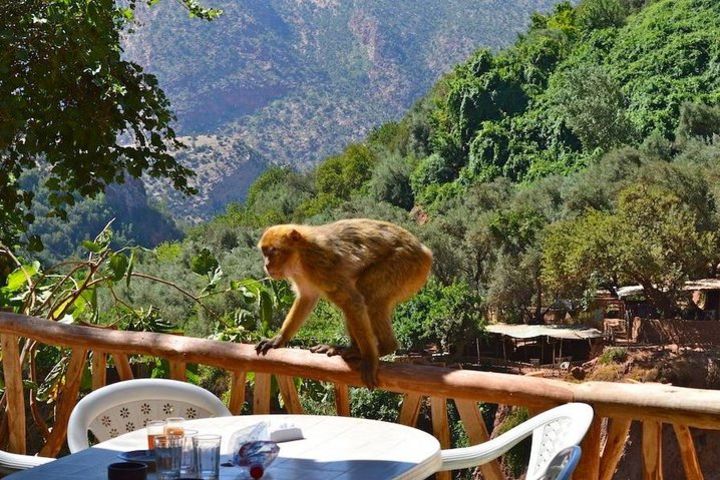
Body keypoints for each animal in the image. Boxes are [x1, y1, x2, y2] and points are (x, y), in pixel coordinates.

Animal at [255, 219, 430, 388]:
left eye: (273, 251)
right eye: (264, 252)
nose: (266, 265)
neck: (300, 256)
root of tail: (425, 252)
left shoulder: (320, 265)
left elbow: (352, 301)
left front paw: (369, 359)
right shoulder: (301, 274)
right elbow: (307, 298)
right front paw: (278, 339)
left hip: (405, 264)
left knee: (366, 295)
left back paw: (383, 347)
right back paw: (350, 348)